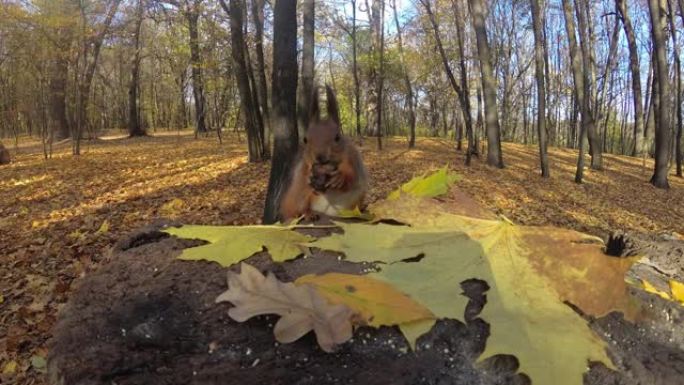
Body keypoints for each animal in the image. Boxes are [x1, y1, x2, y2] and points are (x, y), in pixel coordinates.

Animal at [280, 85, 368, 220]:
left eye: (337, 137)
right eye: (305, 139)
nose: (320, 157)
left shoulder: (353, 157)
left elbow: (352, 176)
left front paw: (340, 177)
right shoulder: (305, 164)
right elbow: (305, 173)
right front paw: (310, 177)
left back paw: (361, 209)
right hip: (297, 197)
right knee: (300, 206)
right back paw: (308, 213)